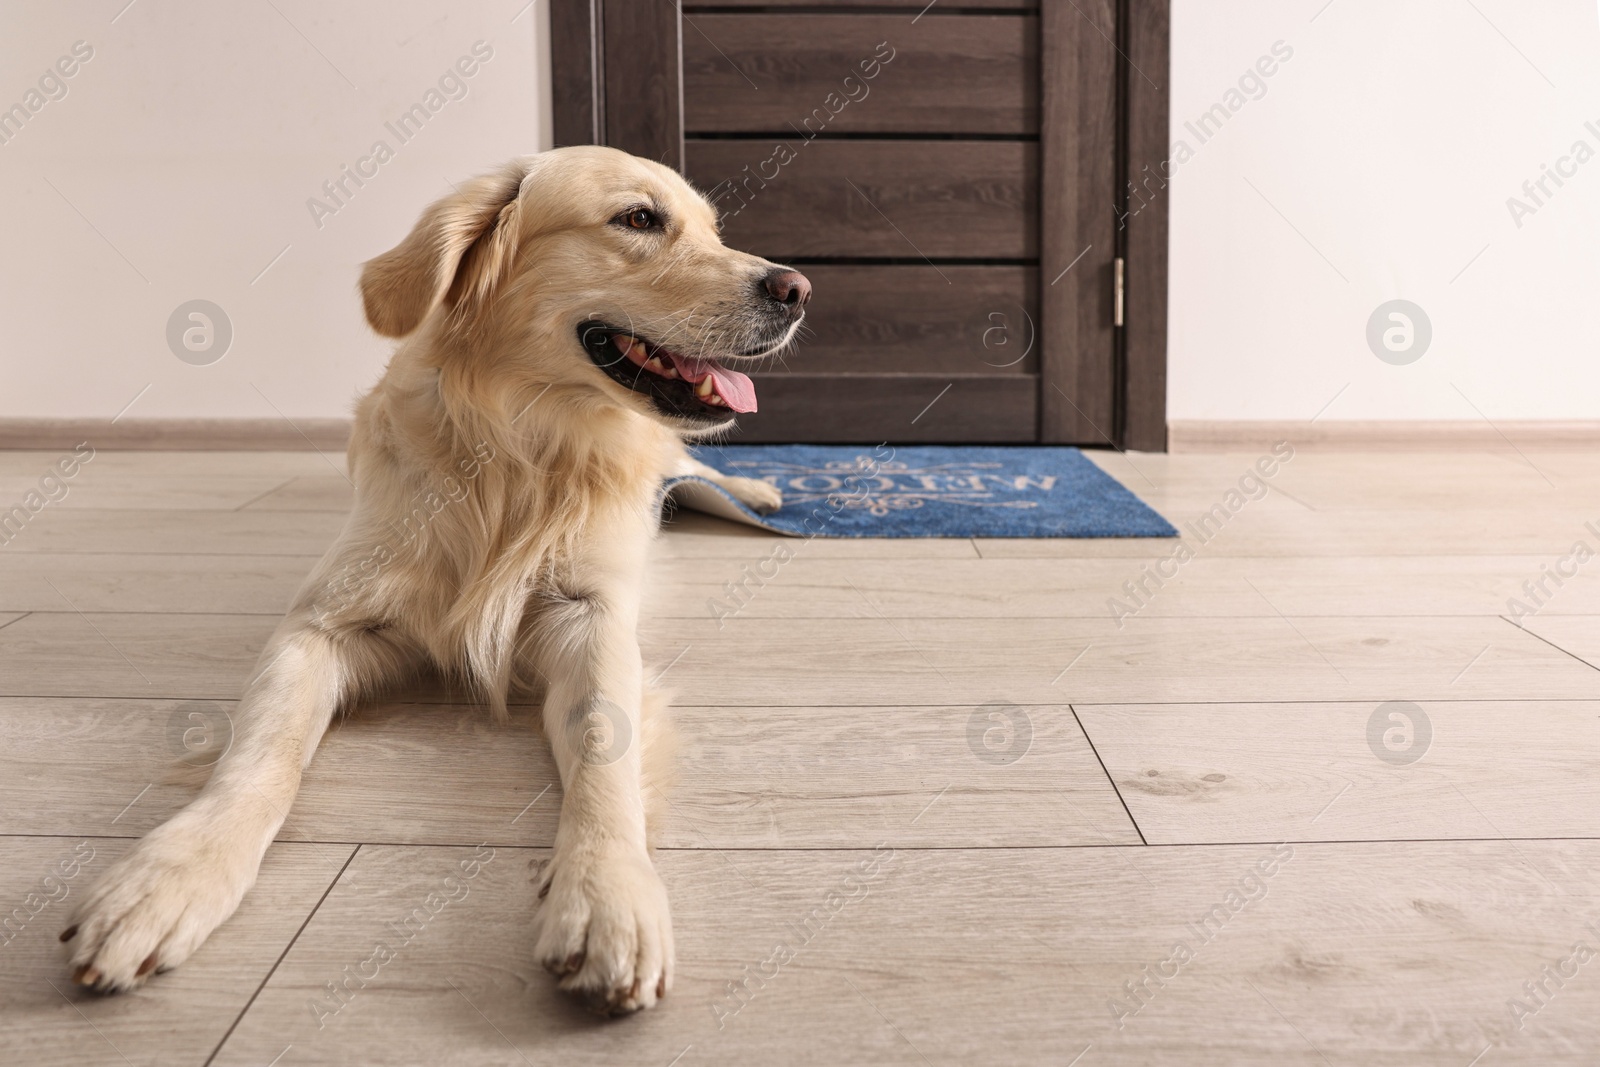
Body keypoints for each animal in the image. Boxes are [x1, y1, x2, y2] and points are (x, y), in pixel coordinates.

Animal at [62, 146, 812, 1017]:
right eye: (638, 219)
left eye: (713, 230)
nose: (797, 289)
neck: (523, 445)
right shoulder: (321, 622)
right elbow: (261, 753)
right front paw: (168, 875)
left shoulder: (590, 614)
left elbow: (603, 753)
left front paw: (607, 894)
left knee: (694, 468)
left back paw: (758, 493)